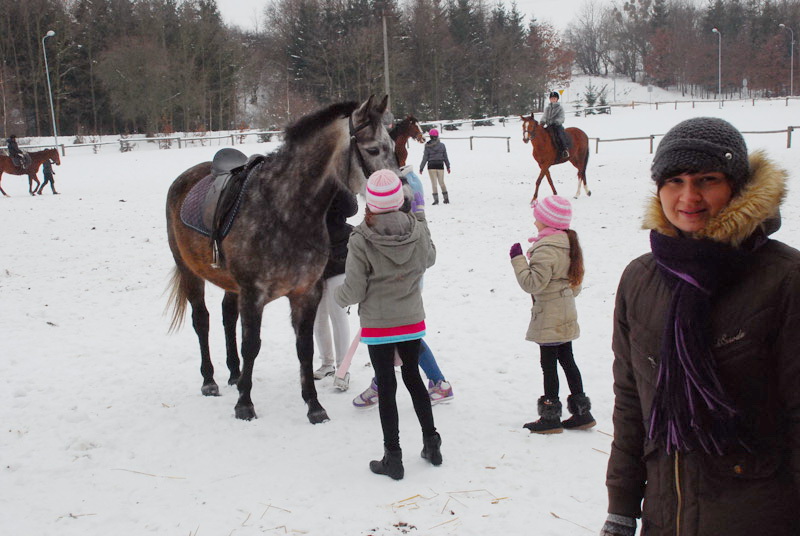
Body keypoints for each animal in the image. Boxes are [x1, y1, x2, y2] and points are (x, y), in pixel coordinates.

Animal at [166, 96, 400, 422]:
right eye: (374, 149)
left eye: (392, 144)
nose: (401, 197)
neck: (285, 211)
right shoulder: (254, 293)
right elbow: (252, 345)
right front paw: (245, 405)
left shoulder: (305, 292)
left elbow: (305, 348)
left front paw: (314, 407)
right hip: (189, 271)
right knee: (202, 320)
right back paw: (210, 380)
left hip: (230, 284)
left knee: (227, 316)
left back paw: (235, 374)